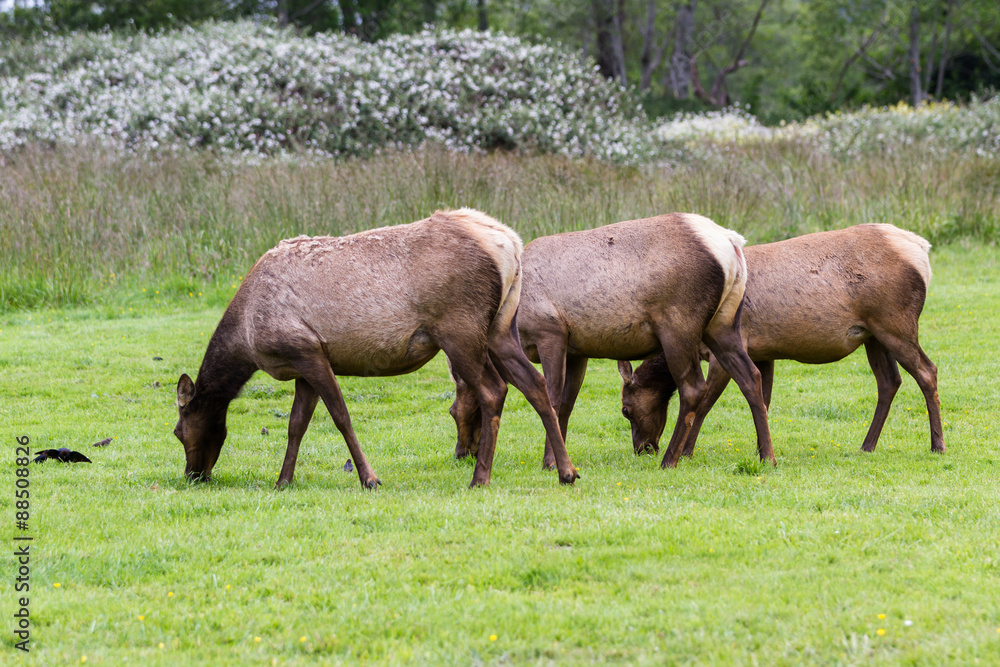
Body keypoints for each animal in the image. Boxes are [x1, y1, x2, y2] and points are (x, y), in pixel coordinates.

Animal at [172, 209, 580, 490]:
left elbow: (340, 416)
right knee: (536, 384)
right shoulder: (305, 362)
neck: (246, 341)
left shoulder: (305, 348)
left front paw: (369, 478)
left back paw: (480, 478)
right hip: (501, 327)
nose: (193, 475)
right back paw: (566, 471)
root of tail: (510, 245)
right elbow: (296, 424)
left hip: (459, 327)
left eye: (178, 431)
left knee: (494, 390)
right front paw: (282, 481)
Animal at [452, 214, 772, 470]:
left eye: (453, 411)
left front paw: (549, 463)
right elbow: (566, 404)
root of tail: (732, 243)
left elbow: (551, 398)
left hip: (678, 324)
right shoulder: (577, 349)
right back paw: (767, 456)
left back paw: (669, 460)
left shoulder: (550, 333)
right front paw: (559, 460)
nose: (461, 453)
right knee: (750, 376)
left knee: (693, 388)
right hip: (723, 323)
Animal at [616, 224, 944, 460]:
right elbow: (764, 398)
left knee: (927, 371)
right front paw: (761, 449)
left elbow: (707, 402)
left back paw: (937, 445)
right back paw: (867, 445)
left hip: (896, 323)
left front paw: (686, 452)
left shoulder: (723, 350)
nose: (643, 449)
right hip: (873, 335)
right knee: (889, 381)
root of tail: (922, 249)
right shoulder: (763, 352)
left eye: (625, 409)